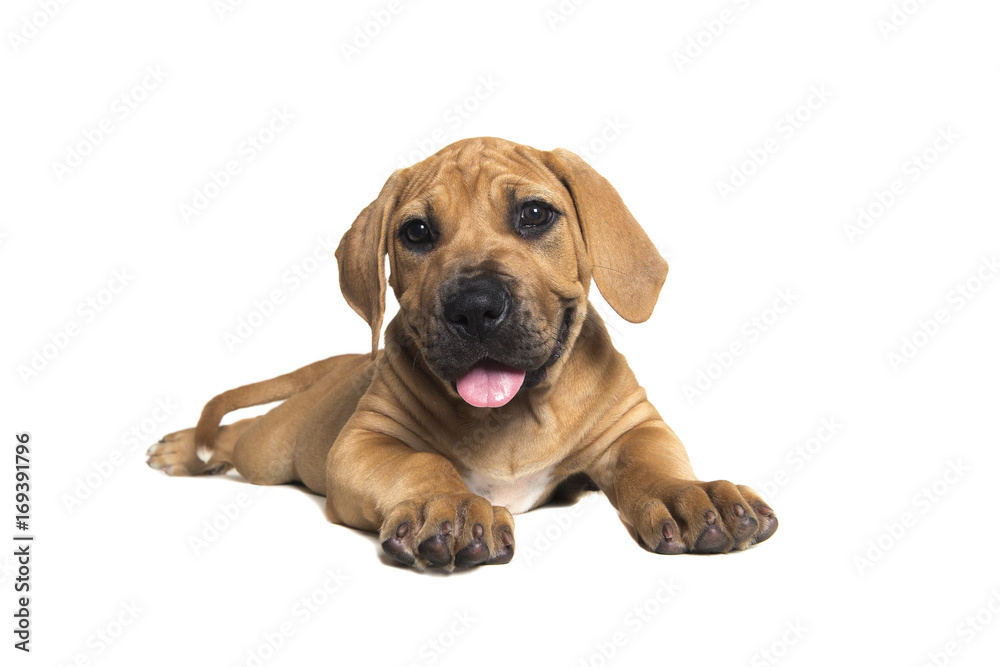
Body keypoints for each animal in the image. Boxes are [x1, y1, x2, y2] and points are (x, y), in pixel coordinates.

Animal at [146, 138, 772, 572]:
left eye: (535, 215)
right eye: (417, 232)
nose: (474, 306)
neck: (515, 417)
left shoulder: (634, 426)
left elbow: (654, 463)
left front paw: (691, 495)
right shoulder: (362, 442)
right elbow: (422, 462)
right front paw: (446, 505)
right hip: (277, 450)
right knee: (235, 437)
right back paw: (184, 449)